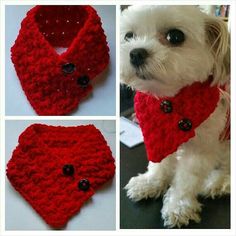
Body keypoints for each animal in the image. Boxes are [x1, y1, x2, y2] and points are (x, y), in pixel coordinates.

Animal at [121, 5, 230, 228]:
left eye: (175, 36)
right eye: (129, 36)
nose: (136, 53)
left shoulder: (200, 149)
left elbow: (188, 179)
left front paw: (179, 205)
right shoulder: (158, 137)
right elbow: (159, 164)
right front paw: (150, 182)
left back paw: (216, 182)